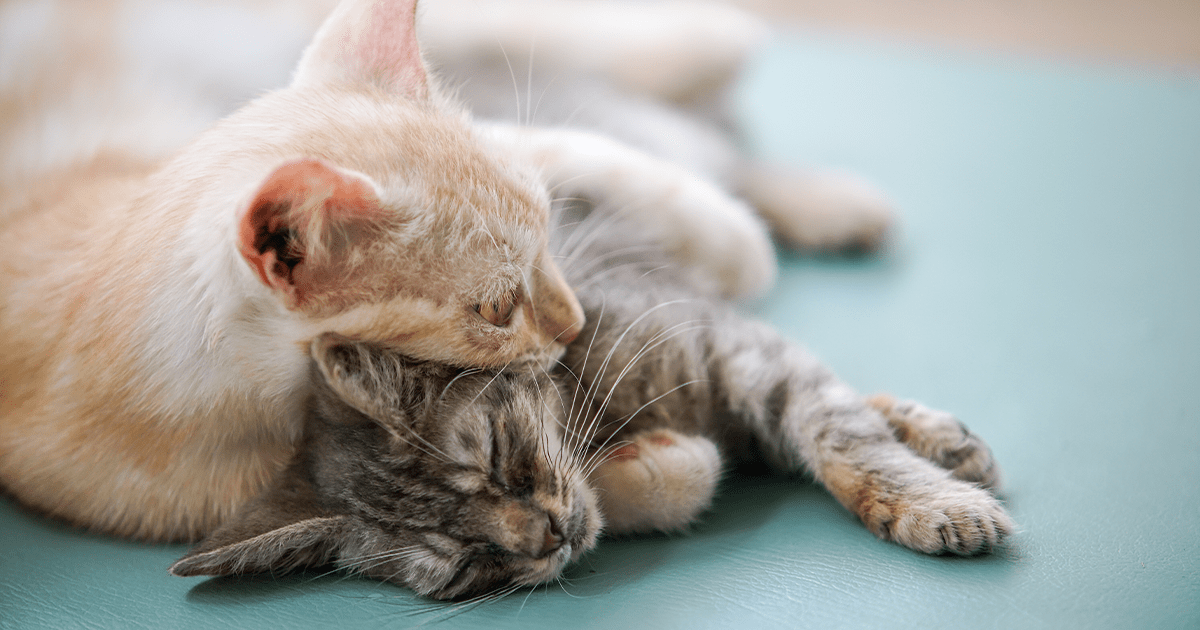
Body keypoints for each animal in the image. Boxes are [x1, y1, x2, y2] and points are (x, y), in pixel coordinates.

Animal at [0, 0, 796, 540]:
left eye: (547, 234)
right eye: (495, 309)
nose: (572, 324)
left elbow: (575, 150)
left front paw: (732, 241)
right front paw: (646, 469)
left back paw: (706, 41)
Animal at [171, 207, 1012, 600]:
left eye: (498, 463)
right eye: (472, 564)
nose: (547, 537)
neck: (600, 410)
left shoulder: (739, 349)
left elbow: (840, 432)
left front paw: (927, 500)